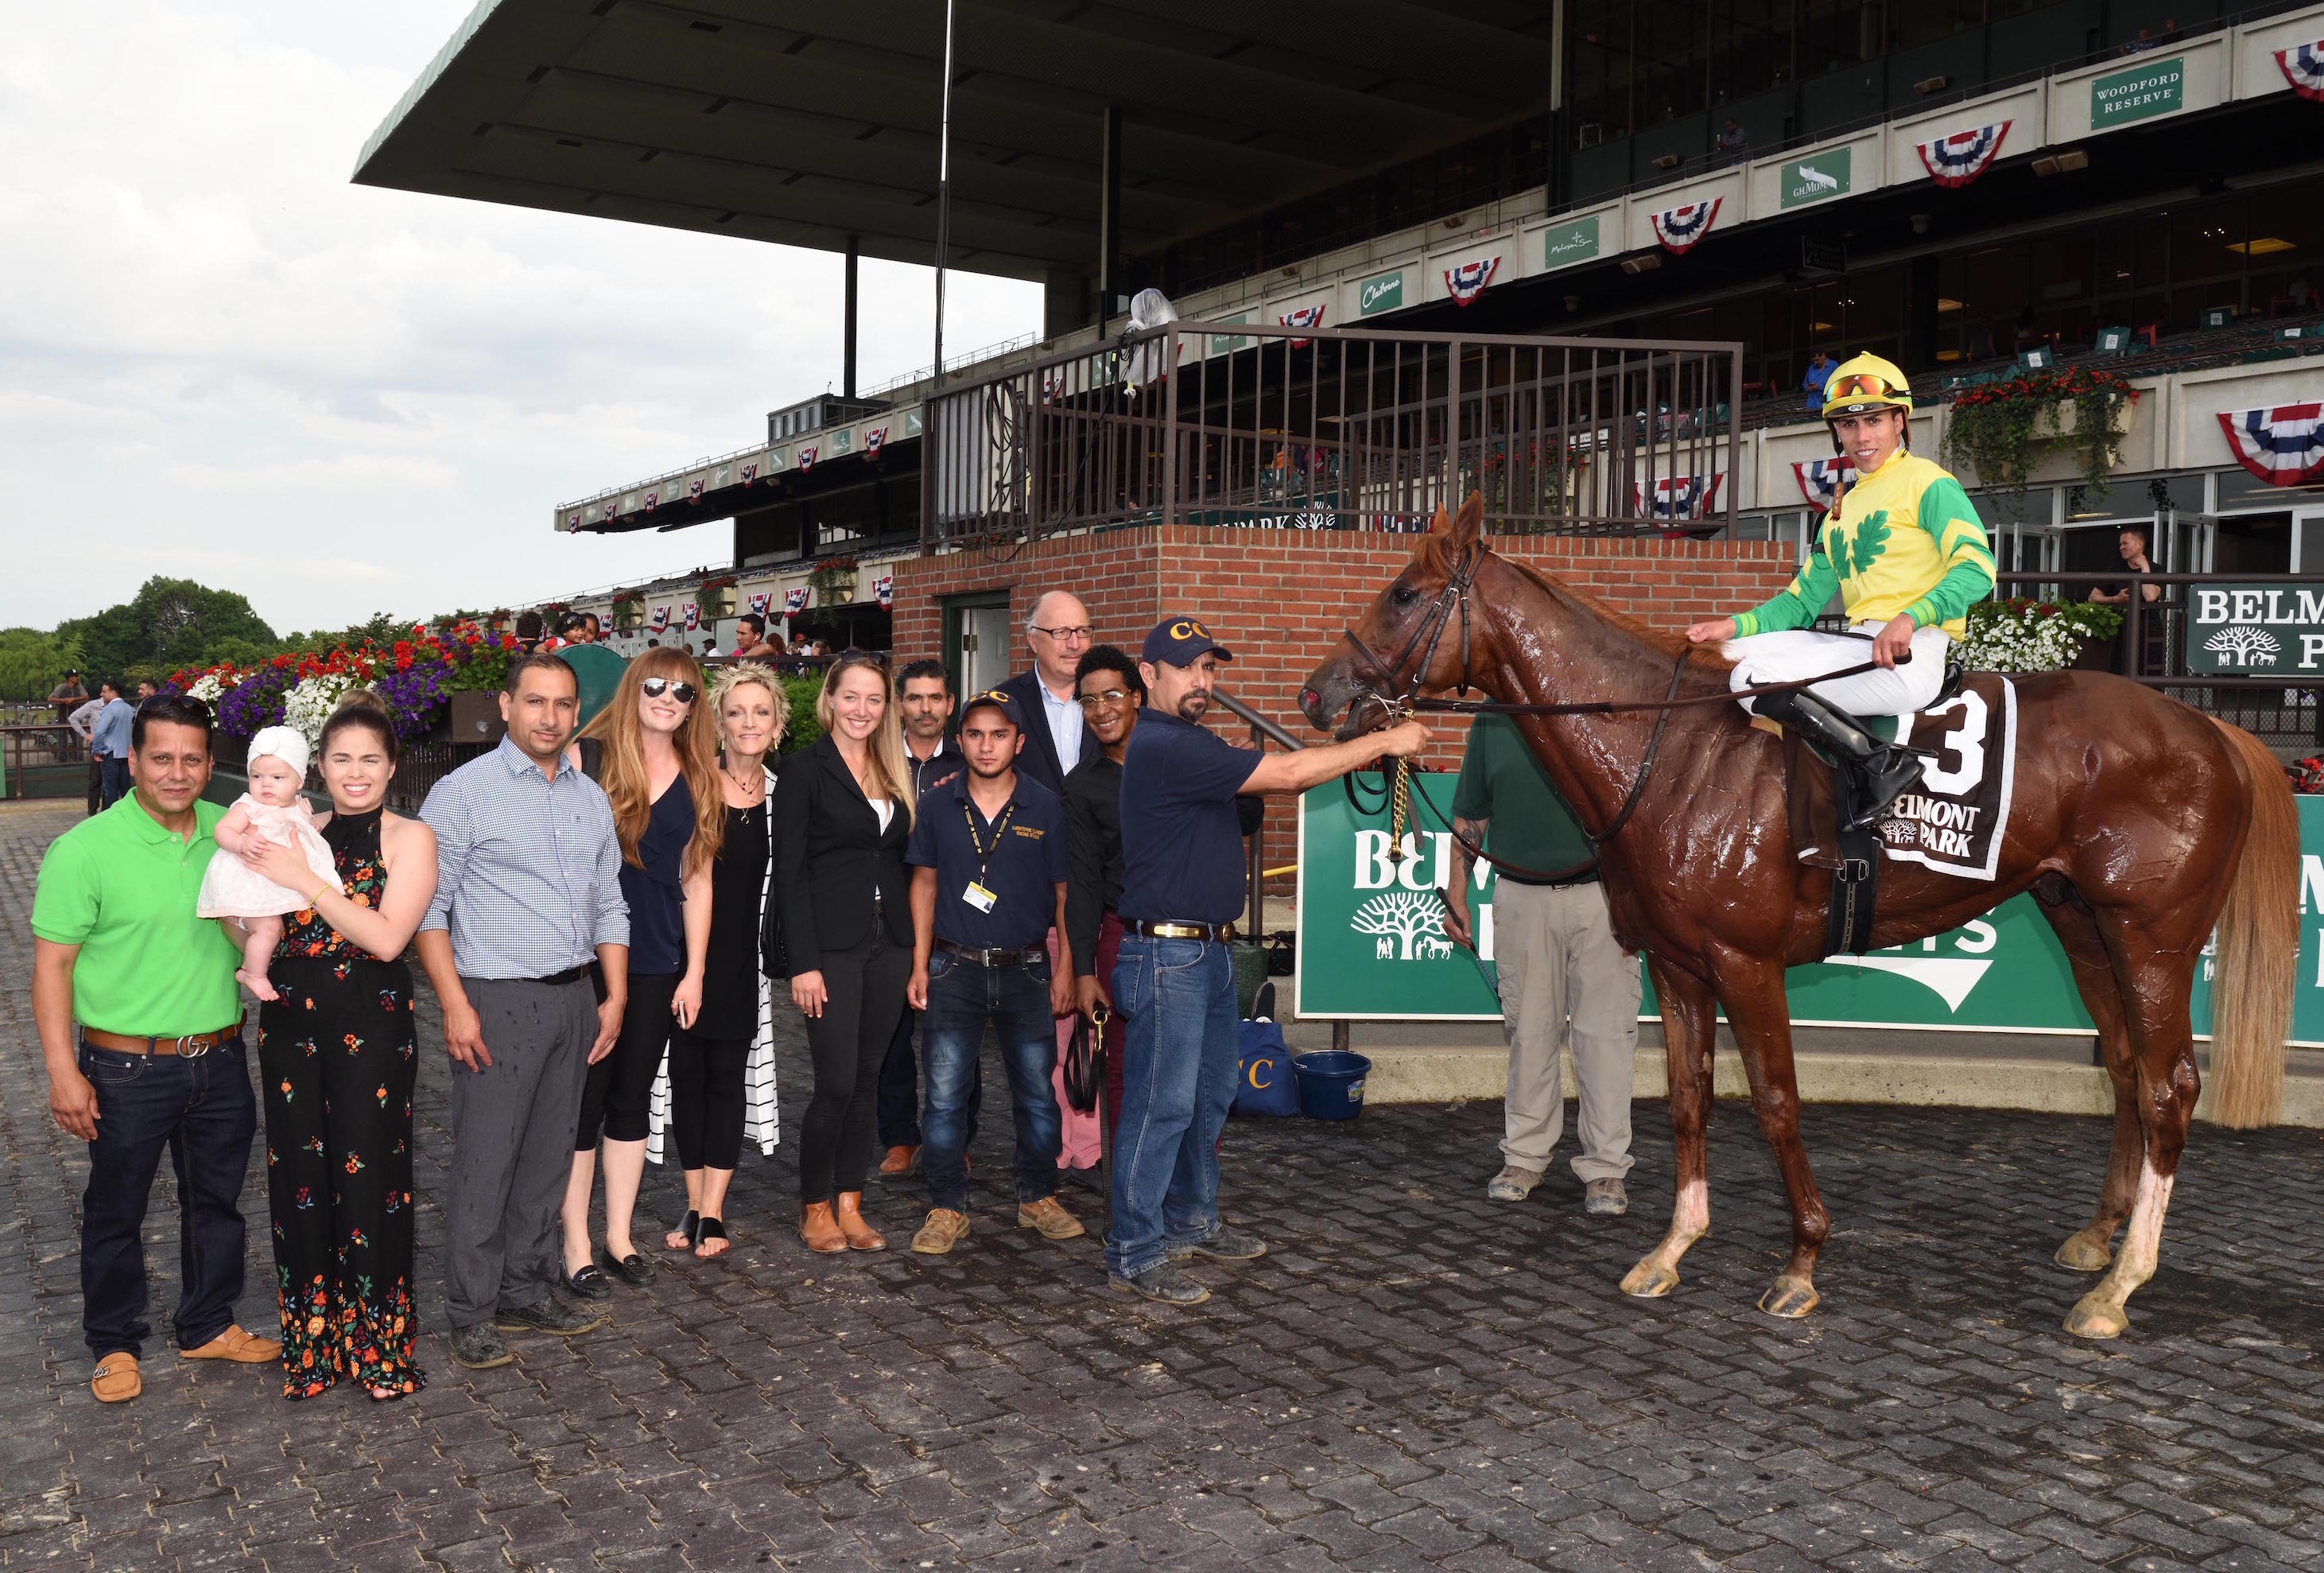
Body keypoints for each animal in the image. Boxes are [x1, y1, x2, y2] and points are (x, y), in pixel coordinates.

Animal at [1301, 495, 2295, 1338]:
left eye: (1404, 594)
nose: (1317, 695)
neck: (1669, 749)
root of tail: (2211, 732)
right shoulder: (1676, 965)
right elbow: (1688, 1098)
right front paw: (1670, 1247)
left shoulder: (1747, 963)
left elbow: (1775, 1102)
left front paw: (1801, 1262)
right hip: (2082, 923)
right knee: (2125, 1070)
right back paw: (2097, 1239)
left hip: (2154, 938)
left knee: (2171, 1085)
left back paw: (2119, 1286)